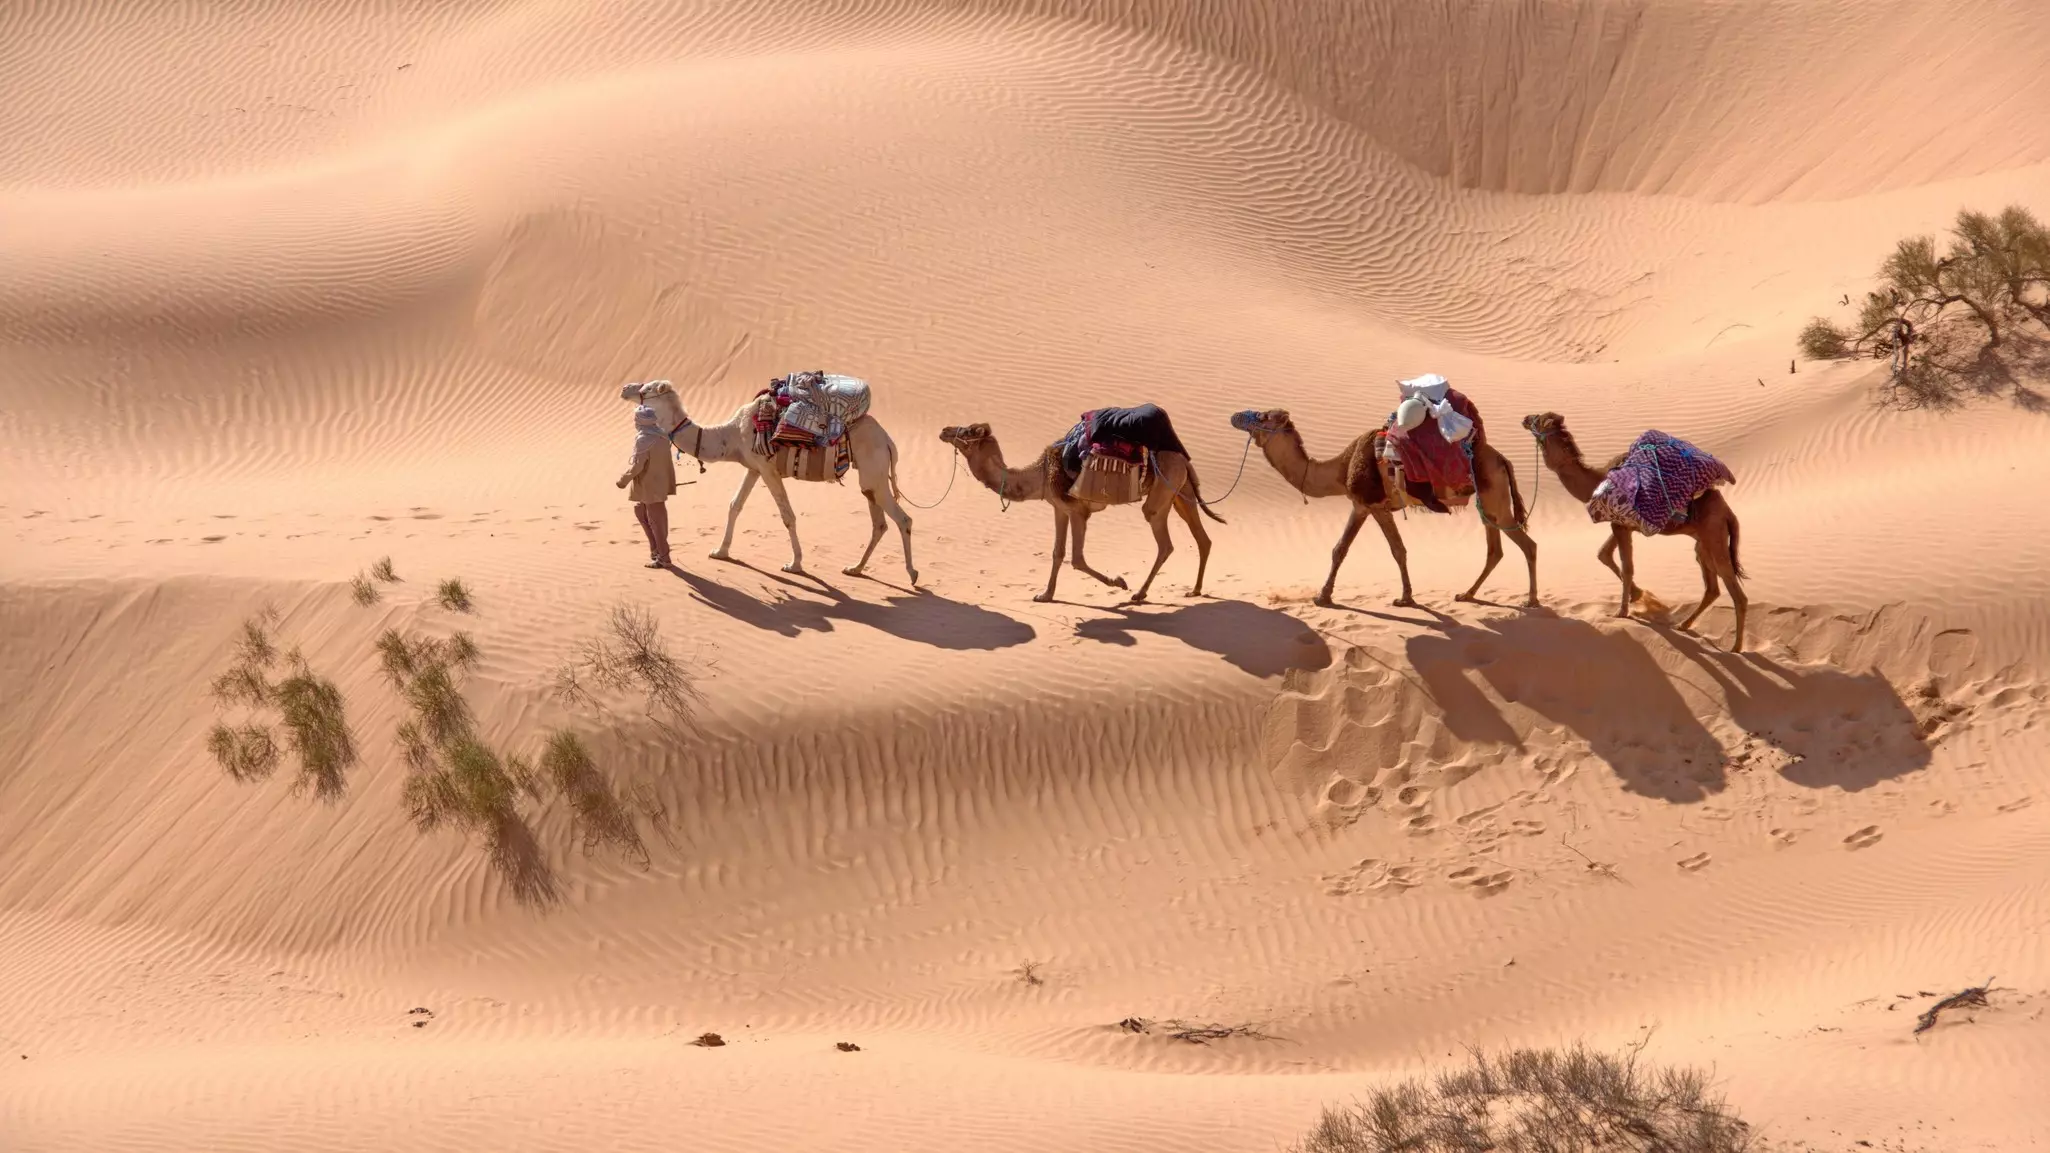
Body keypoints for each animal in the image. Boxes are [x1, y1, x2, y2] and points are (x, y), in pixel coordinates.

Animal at [623, 381, 917, 584]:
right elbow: (735, 505)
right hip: (870, 478)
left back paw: (912, 574)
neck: (729, 437)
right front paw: (720, 551)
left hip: (874, 471)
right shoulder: (753, 468)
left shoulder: (767, 467)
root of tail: (888, 441)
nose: (626, 389)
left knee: (903, 519)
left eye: (647, 388)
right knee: (879, 523)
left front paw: (795, 564)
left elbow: (787, 515)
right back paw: (855, 568)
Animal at [935, 420, 1223, 604]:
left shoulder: (1077, 511)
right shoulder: (1059, 509)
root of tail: (1184, 459)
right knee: (1202, 538)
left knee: (1164, 540)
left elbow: (1077, 559)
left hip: (1162, 492)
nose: (944, 430)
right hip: (1181, 492)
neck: (1041, 475)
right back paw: (1195, 590)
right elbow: (1057, 553)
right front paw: (1045, 595)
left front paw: (1119, 582)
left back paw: (1139, 594)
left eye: (968, 430)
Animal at [1227, 409, 1537, 609]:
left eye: (1262, 417)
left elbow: (1346, 549)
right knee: (1495, 550)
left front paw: (1323, 597)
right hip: (1488, 503)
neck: (1341, 468)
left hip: (1494, 498)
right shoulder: (1374, 507)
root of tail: (1502, 459)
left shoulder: (1367, 504)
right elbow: (1394, 550)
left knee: (1527, 544)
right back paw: (1467, 595)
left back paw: (1531, 601)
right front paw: (1406, 597)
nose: (1236, 416)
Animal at [1520, 412, 1746, 652]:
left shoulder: (1620, 525)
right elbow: (1603, 554)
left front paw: (1622, 612)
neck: (1596, 481)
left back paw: (1736, 648)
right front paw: (1637, 596)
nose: (1525, 418)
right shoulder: (1621, 525)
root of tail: (1729, 513)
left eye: (1538, 419)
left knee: (1735, 591)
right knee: (1712, 587)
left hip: (1714, 535)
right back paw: (1684, 625)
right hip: (1703, 544)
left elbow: (1627, 567)